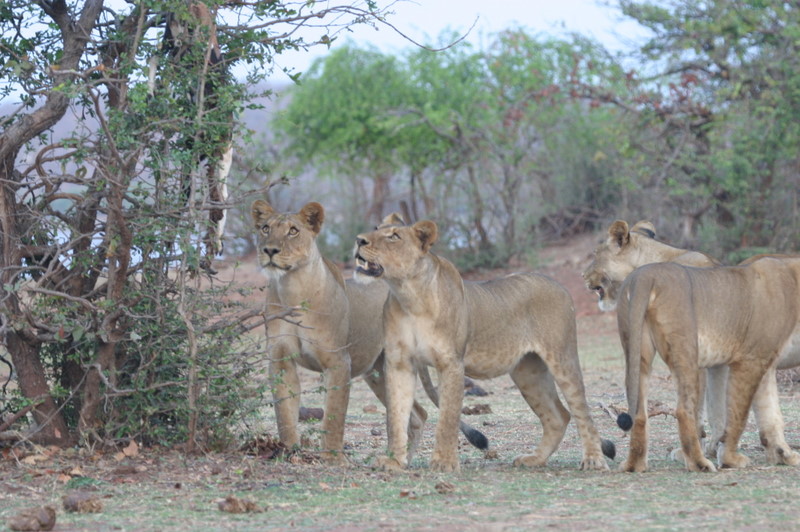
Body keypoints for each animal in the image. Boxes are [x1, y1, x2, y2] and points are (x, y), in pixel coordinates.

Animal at [251, 200, 486, 464]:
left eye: (293, 231)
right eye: (265, 228)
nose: (270, 250)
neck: (292, 288)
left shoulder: (338, 361)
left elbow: (333, 415)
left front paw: (333, 459)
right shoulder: (280, 359)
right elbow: (284, 412)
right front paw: (289, 451)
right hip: (378, 371)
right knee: (418, 414)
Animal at [353, 216, 615, 472]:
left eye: (394, 236)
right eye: (375, 228)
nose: (359, 239)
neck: (408, 295)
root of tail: (558, 284)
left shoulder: (451, 363)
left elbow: (448, 417)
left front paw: (444, 462)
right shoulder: (399, 363)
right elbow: (396, 417)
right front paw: (395, 461)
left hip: (562, 358)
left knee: (582, 411)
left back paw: (593, 460)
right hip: (528, 372)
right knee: (558, 416)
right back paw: (535, 459)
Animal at [584, 220, 800, 466]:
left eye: (596, 255)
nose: (583, 276)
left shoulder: (703, 359)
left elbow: (700, 409)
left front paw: (695, 450)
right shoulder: (718, 362)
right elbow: (716, 408)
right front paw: (715, 447)